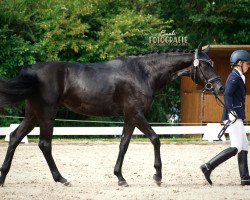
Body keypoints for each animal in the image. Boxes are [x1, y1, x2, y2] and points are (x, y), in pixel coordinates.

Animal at [0, 43, 223, 187]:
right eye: (205, 64)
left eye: (212, 62)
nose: (219, 87)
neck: (143, 72)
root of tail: (32, 70)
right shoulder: (136, 113)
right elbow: (155, 138)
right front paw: (157, 176)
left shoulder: (130, 116)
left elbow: (124, 144)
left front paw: (120, 177)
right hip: (47, 113)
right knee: (44, 144)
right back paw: (61, 179)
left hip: (33, 114)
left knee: (14, 137)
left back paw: (3, 178)